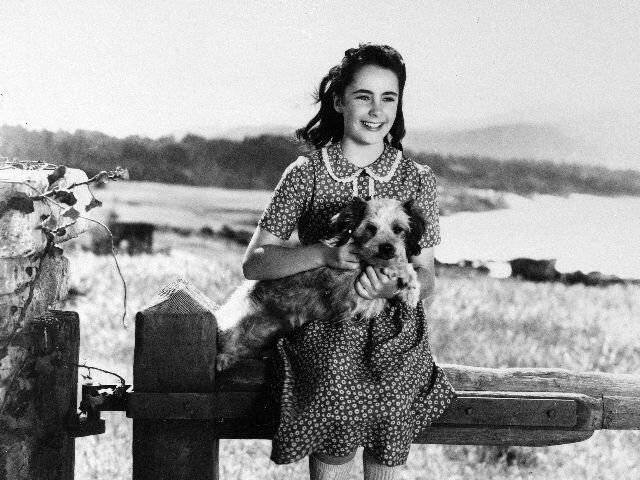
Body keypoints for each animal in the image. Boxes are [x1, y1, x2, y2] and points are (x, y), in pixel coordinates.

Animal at [215, 197, 427, 372]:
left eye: (398, 229)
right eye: (371, 228)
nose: (387, 248)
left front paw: (409, 286)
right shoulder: (350, 300)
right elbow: (393, 268)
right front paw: (407, 282)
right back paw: (224, 357)